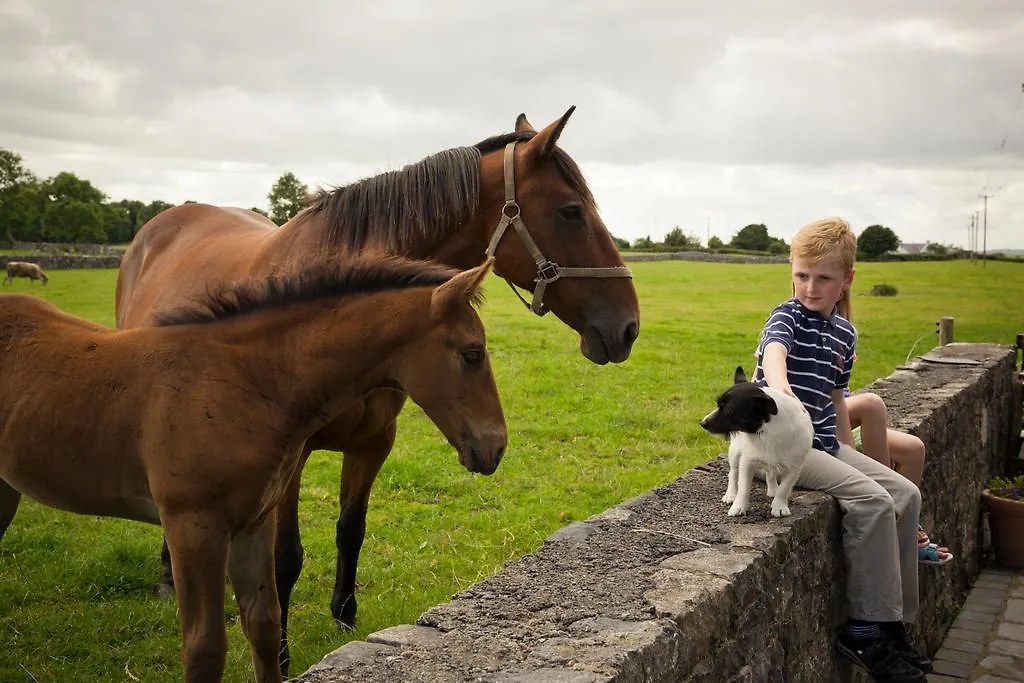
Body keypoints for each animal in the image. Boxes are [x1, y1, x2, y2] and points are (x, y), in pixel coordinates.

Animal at [0, 255, 503, 683]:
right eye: (472, 353)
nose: (497, 446)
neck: (243, 382)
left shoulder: (252, 524)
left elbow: (263, 625)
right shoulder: (193, 528)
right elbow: (205, 649)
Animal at [114, 107, 638, 671]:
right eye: (570, 211)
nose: (628, 326)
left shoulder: (373, 440)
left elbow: (351, 531)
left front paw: (344, 620)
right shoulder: (290, 458)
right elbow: (285, 559)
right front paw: (282, 654)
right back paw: (167, 576)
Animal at [700, 368, 811, 518]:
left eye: (728, 410)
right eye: (718, 405)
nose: (703, 423)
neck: (765, 431)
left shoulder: (794, 468)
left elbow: (784, 488)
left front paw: (779, 506)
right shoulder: (747, 462)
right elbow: (744, 487)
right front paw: (739, 506)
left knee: (771, 473)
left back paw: (773, 489)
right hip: (735, 452)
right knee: (733, 472)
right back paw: (731, 494)